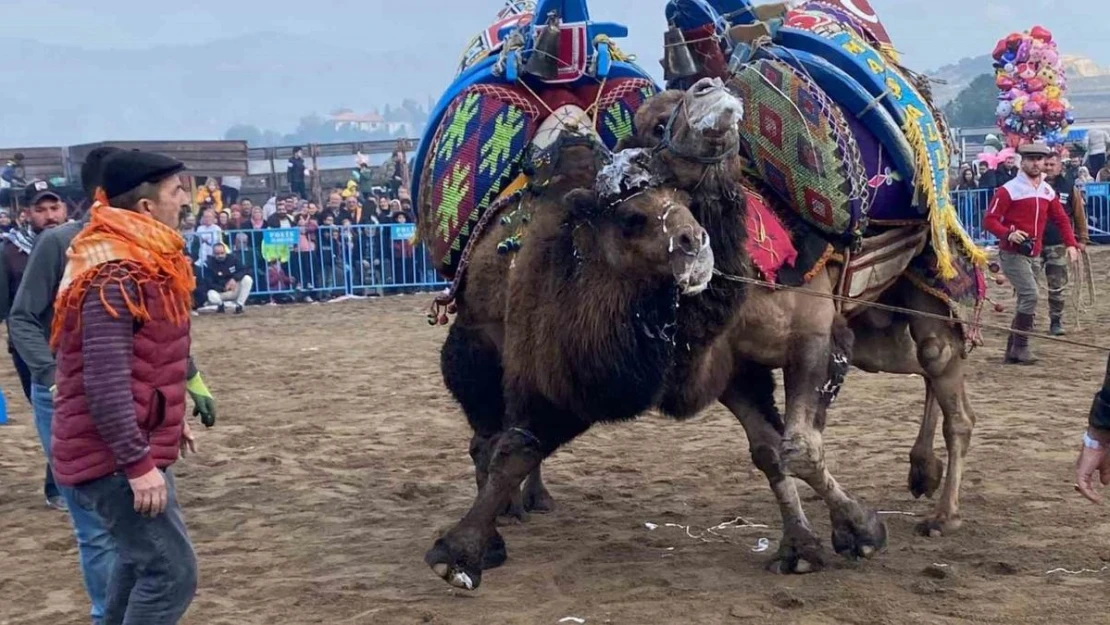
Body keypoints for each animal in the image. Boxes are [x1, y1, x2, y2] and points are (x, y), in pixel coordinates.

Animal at [424, 132, 719, 590]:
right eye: (632, 217)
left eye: (686, 201)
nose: (696, 244)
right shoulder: (534, 372)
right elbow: (511, 450)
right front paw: (462, 554)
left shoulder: (572, 391)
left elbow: (525, 448)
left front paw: (475, 544)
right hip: (476, 353)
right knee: (484, 439)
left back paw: (533, 501)